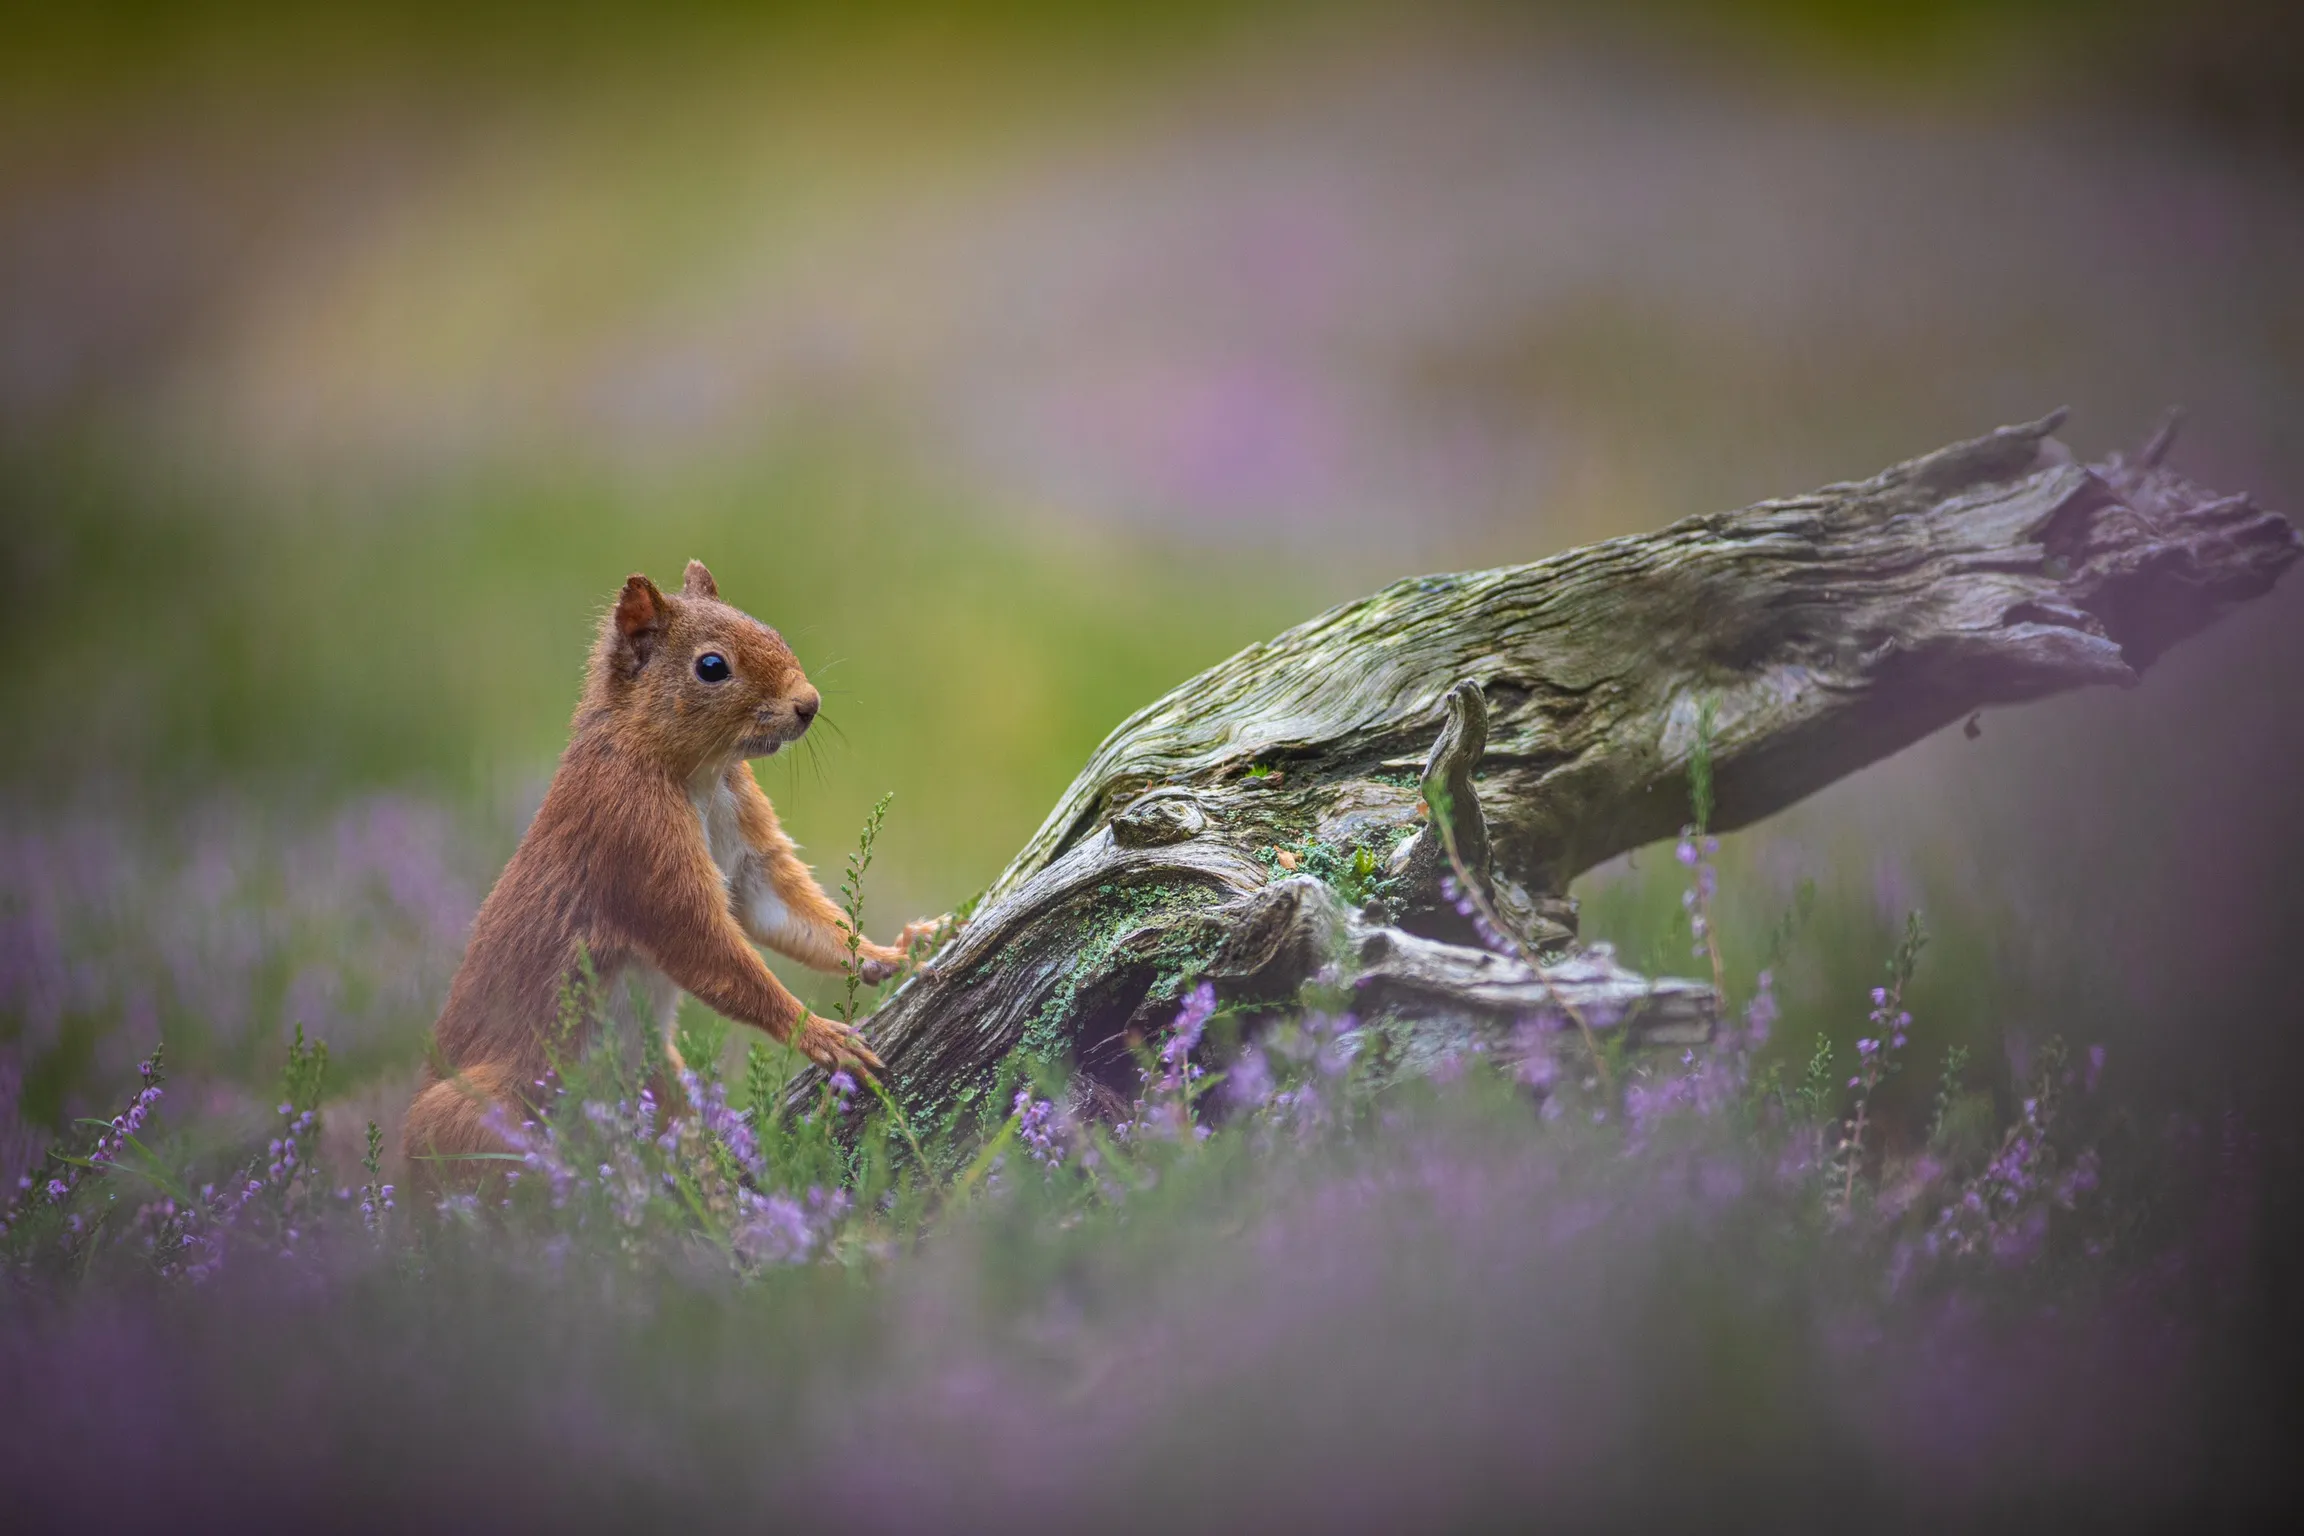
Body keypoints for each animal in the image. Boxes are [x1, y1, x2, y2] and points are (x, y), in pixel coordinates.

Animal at [404, 560, 936, 1170]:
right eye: (711, 667)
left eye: (770, 628)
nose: (809, 704)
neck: (697, 775)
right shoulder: (636, 845)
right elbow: (705, 947)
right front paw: (821, 1034)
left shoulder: (747, 846)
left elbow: (789, 915)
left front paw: (892, 954)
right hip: (474, 1112)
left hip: (660, 1077)